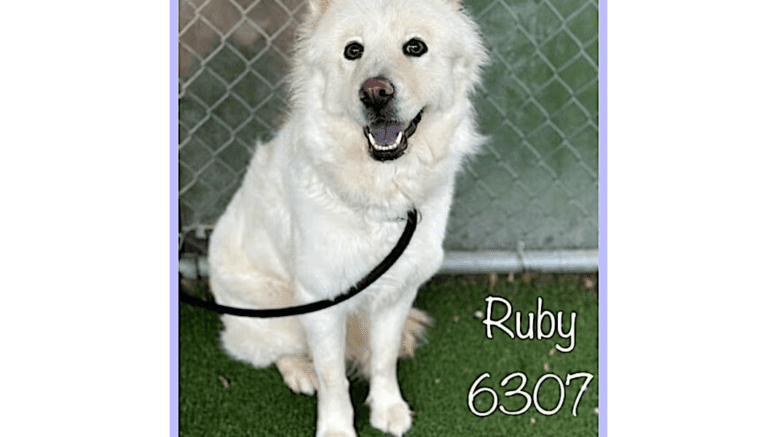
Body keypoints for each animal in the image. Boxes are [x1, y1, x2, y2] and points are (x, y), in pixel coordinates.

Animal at [206, 0, 484, 434]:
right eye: (353, 51)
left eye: (415, 47)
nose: (375, 93)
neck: (380, 191)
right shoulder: (320, 301)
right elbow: (332, 374)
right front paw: (336, 426)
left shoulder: (396, 291)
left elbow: (384, 358)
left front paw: (388, 409)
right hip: (273, 313)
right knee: (275, 350)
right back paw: (300, 372)